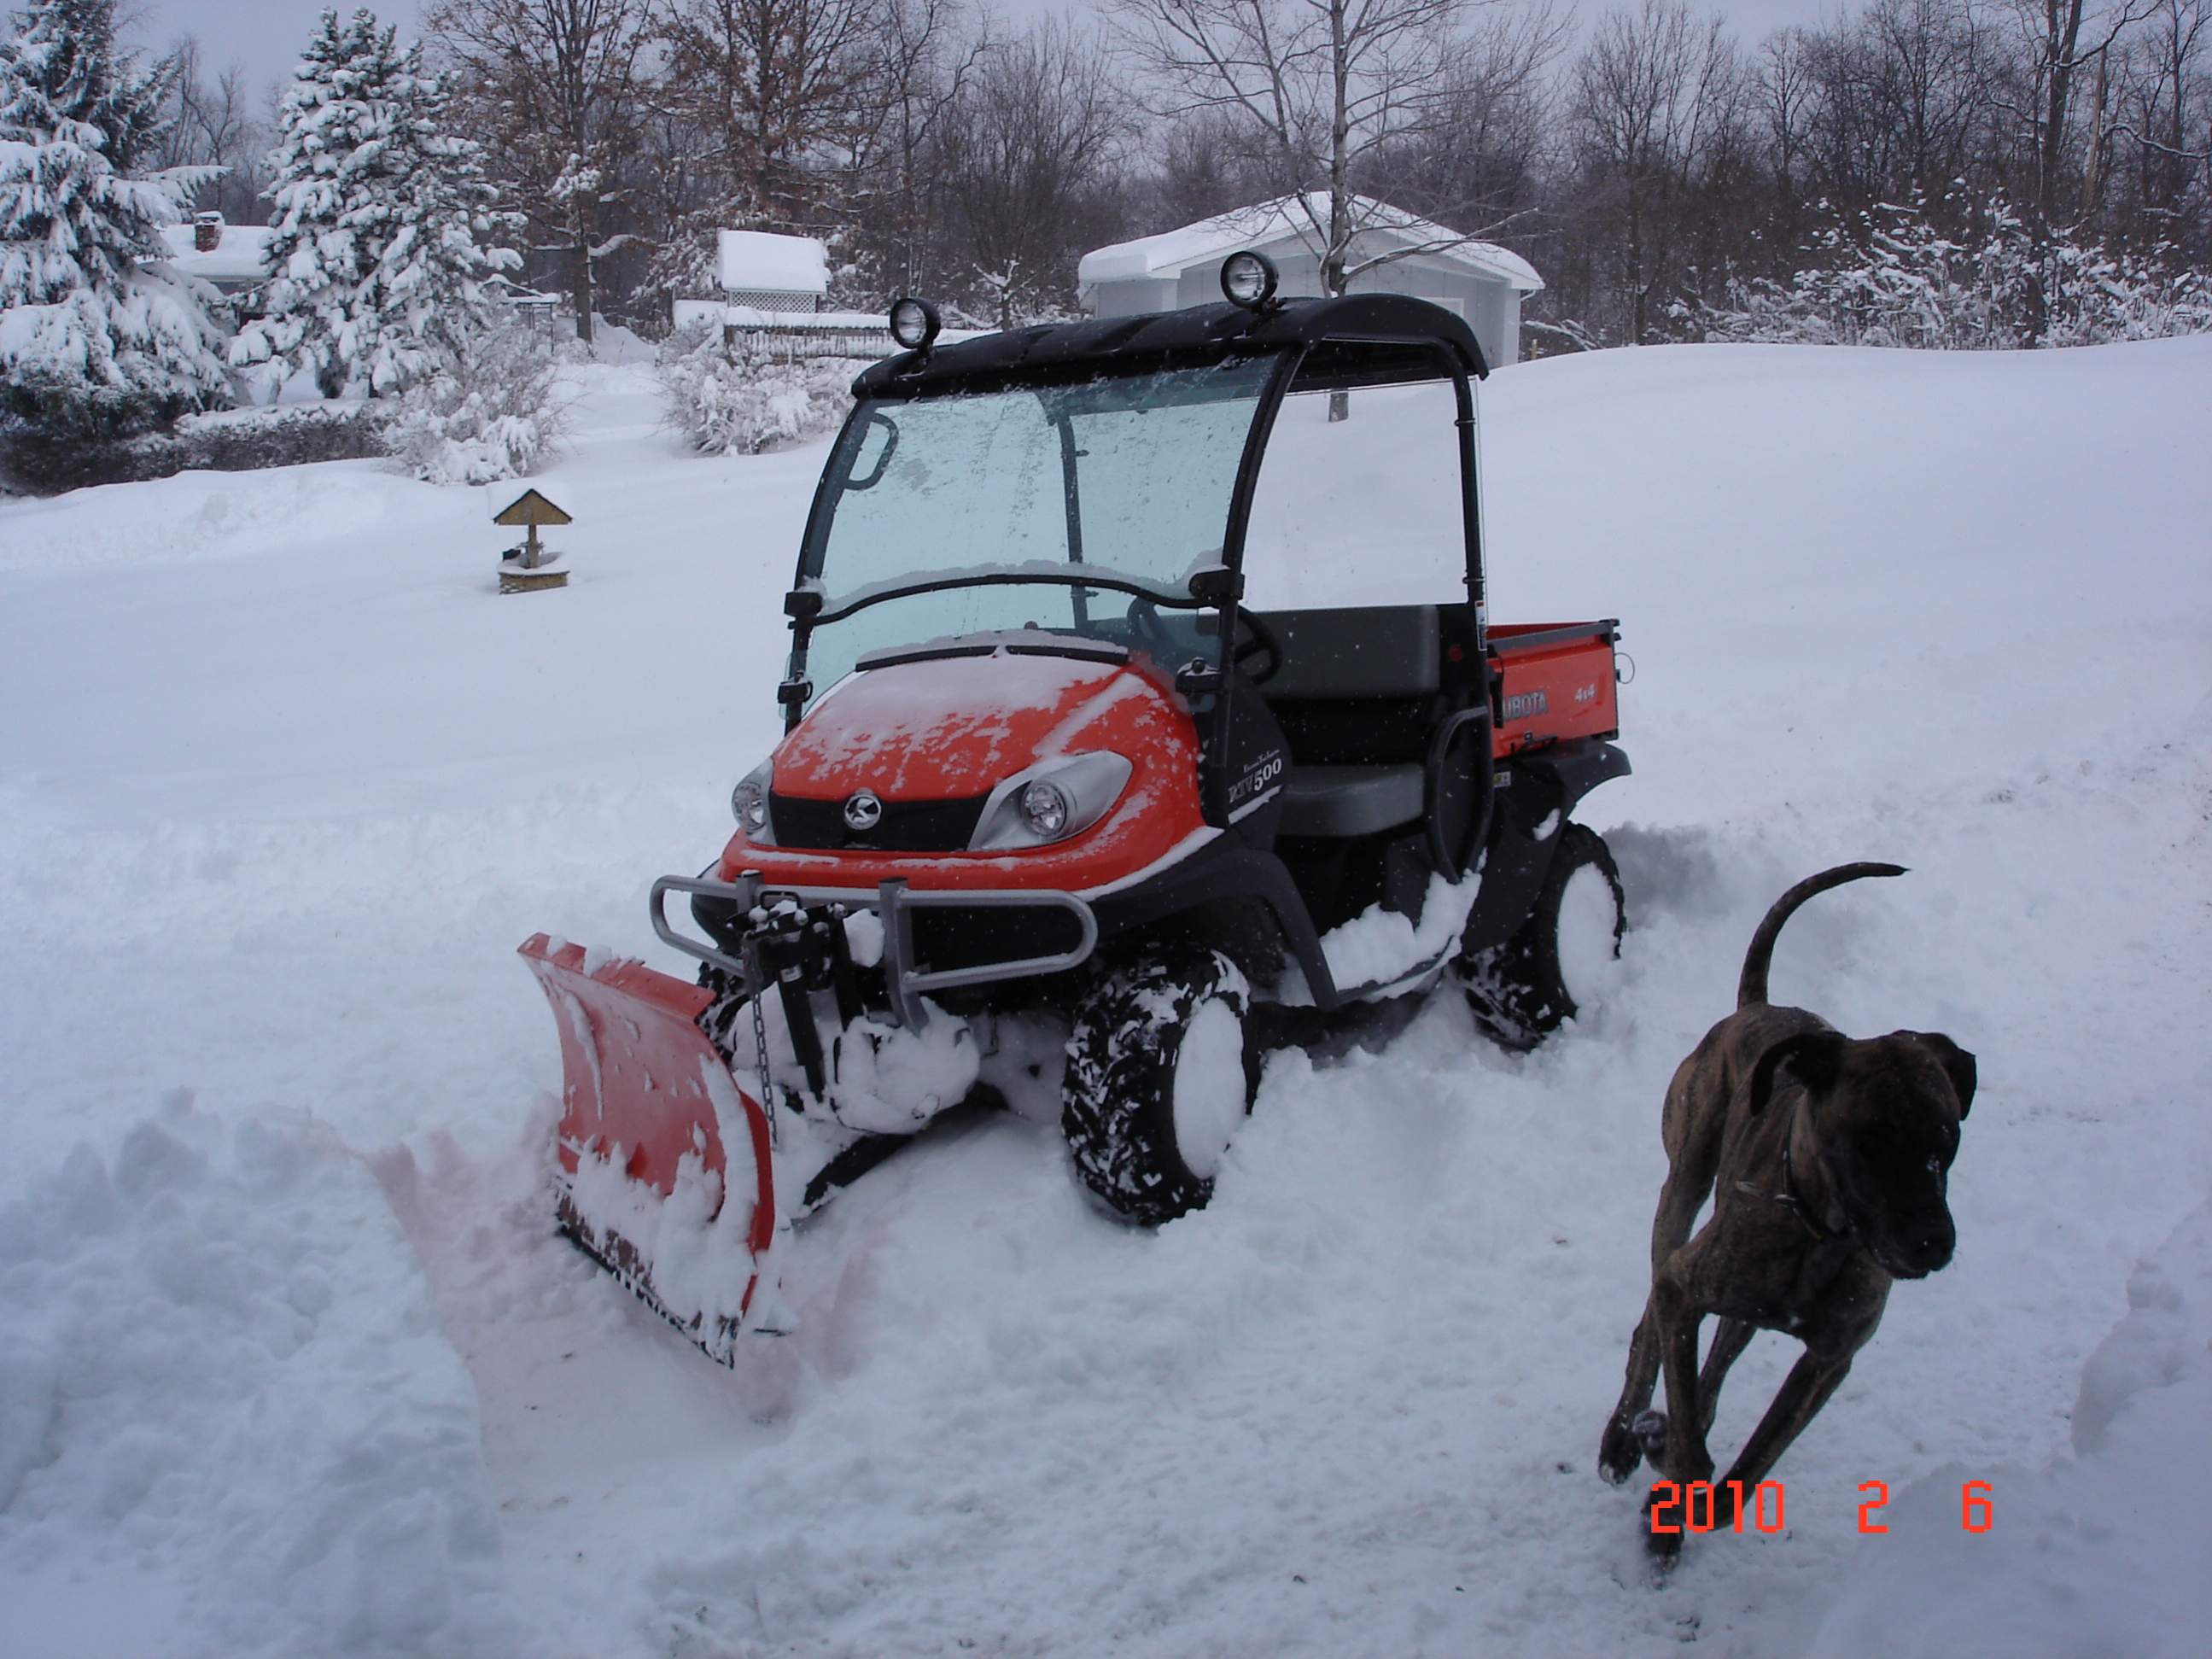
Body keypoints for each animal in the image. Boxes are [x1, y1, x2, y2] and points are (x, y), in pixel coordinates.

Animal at [1596, 862, 1976, 1563]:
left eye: (1947, 1137)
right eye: (1867, 1140)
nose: (1932, 1242)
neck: (1820, 1233)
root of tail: (1756, 1007)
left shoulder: (1827, 1363)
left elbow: (1743, 1476)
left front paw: (1684, 1496)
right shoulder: (1685, 1288)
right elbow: (1690, 1439)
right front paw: (1664, 1451)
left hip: (1738, 1299)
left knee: (1714, 1366)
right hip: (1682, 1188)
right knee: (1651, 1326)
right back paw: (1624, 1435)